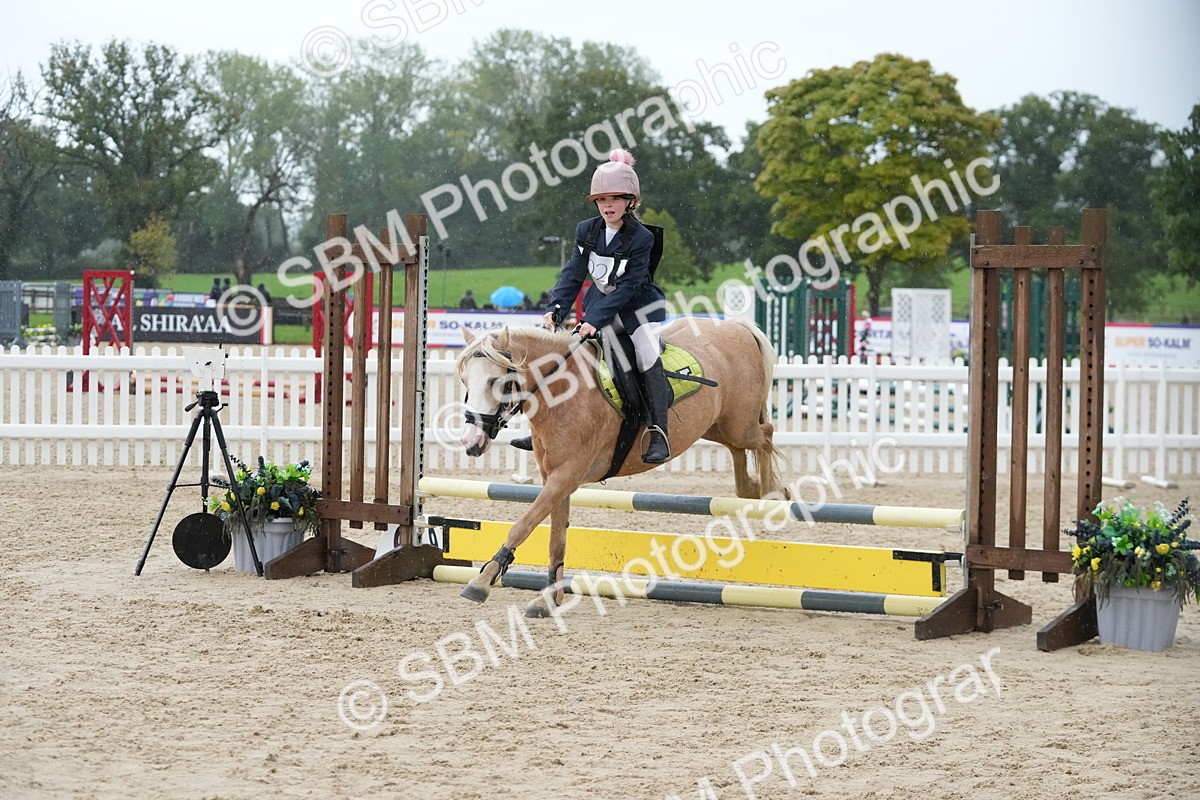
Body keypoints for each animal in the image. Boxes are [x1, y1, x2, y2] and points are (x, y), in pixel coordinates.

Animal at [455, 316, 787, 616]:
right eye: (465, 381)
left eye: (496, 382)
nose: (471, 442)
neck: (561, 388)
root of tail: (735, 325)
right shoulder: (555, 477)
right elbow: (556, 540)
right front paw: (548, 600)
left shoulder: (567, 475)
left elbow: (523, 524)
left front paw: (481, 582)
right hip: (716, 426)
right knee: (739, 449)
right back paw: (755, 489)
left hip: (738, 424)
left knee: (766, 435)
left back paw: (774, 492)